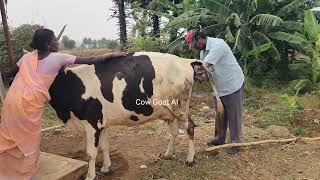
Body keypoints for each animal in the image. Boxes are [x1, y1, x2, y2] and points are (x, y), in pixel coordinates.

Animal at [49, 51, 222, 179]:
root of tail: (186, 61)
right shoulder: (102, 123)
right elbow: (104, 147)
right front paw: (106, 168)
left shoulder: (91, 122)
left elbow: (91, 153)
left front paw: (90, 176)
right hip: (169, 110)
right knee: (174, 132)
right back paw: (168, 154)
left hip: (181, 106)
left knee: (189, 127)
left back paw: (190, 159)